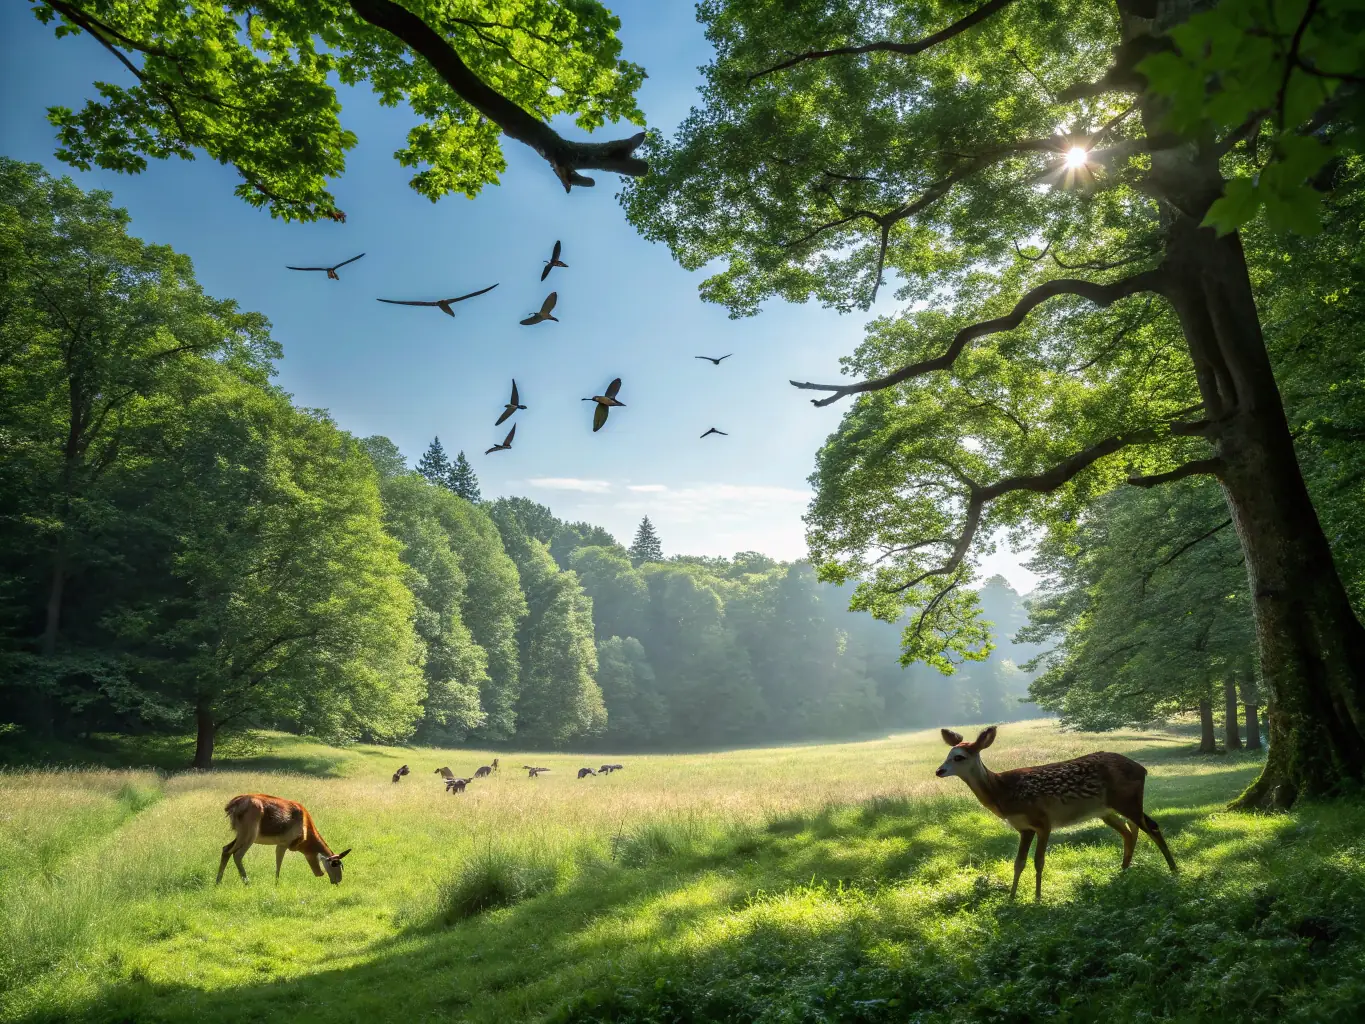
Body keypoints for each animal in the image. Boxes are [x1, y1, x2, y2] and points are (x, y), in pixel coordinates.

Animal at [217, 794, 350, 886]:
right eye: (335, 864)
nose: (338, 881)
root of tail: (232, 806)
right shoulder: (283, 843)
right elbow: (278, 865)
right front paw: (276, 885)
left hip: (240, 835)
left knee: (226, 849)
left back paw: (218, 882)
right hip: (249, 835)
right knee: (237, 854)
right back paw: (247, 882)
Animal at [936, 726, 1177, 900]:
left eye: (959, 757)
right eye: (948, 754)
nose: (939, 771)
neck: (1002, 792)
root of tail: (1142, 769)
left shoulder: (1043, 821)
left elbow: (1039, 861)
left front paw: (1038, 898)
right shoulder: (1024, 828)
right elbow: (1018, 863)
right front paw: (1012, 898)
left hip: (1127, 801)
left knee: (1152, 827)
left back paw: (1173, 871)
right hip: (1107, 810)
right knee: (1129, 832)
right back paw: (1123, 872)